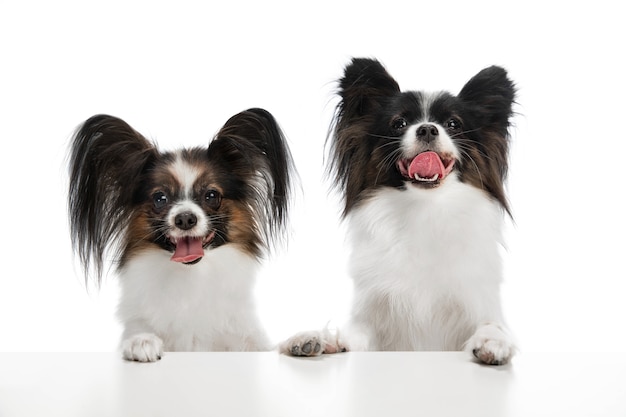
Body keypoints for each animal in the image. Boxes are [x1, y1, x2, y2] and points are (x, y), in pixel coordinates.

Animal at [69, 107, 294, 360]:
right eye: (160, 198)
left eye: (211, 195)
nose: (185, 219)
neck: (191, 277)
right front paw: (142, 342)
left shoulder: (247, 339)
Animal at [282, 57, 516, 364]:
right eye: (399, 123)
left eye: (453, 124)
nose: (427, 128)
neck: (425, 210)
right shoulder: (375, 324)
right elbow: (349, 338)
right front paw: (319, 339)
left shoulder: (476, 303)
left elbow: (492, 325)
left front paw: (492, 342)